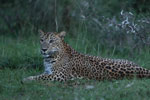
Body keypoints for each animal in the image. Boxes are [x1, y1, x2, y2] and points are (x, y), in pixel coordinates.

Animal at [22, 30, 150, 83]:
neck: (49, 58)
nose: (43, 49)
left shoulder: (59, 76)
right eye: (41, 40)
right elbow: (39, 75)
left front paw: (26, 79)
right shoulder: (48, 71)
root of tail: (143, 70)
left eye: (51, 41)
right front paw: (28, 78)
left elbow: (40, 77)